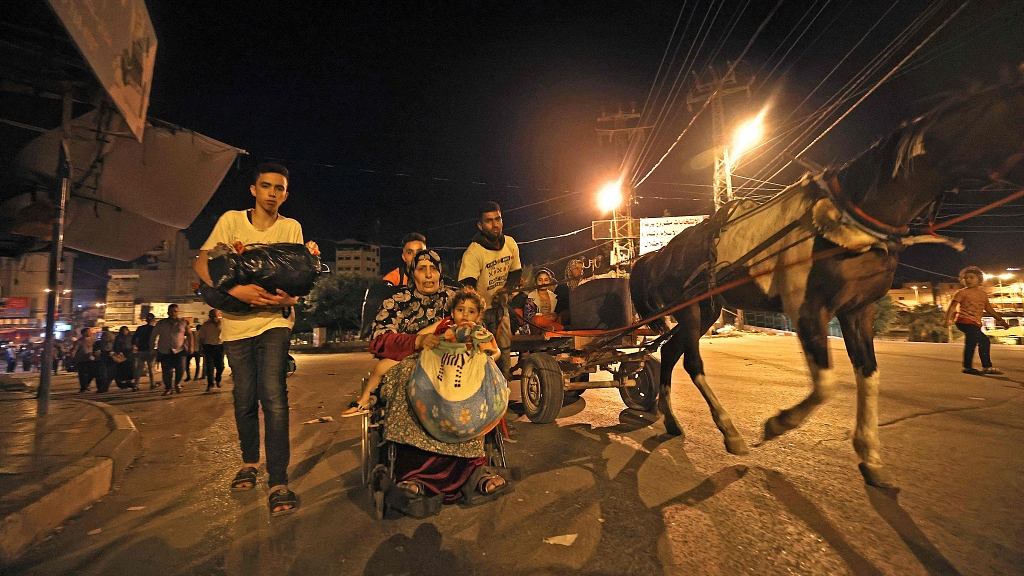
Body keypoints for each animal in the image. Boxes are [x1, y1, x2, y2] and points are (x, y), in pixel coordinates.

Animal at [626, 80, 1024, 483]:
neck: (853, 218)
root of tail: (661, 254)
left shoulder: (859, 311)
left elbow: (868, 374)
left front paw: (870, 454)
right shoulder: (807, 309)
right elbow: (827, 382)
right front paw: (779, 423)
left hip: (706, 310)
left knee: (668, 353)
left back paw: (672, 421)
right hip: (690, 309)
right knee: (692, 363)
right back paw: (730, 432)